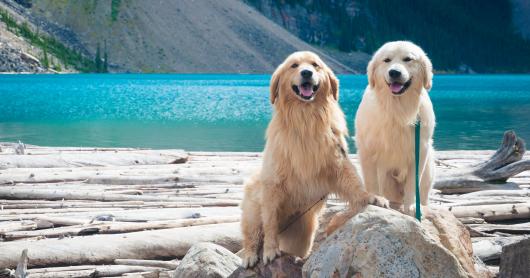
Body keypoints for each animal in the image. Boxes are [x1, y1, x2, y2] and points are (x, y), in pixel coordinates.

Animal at [239, 51, 388, 268]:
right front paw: (270, 250)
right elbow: (270, 223)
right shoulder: (273, 183)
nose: (307, 73)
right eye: (294, 65)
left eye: (315, 65)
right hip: (253, 209)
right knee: (252, 234)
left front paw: (371, 196)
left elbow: (354, 183)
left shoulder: (337, 161)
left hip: (304, 234)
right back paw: (251, 255)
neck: (306, 117)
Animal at [354, 41, 434, 215]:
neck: (397, 109)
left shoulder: (420, 148)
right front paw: (377, 199)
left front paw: (411, 207)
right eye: (386, 60)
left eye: (408, 59)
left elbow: (412, 182)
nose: (394, 72)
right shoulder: (367, 148)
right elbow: (371, 180)